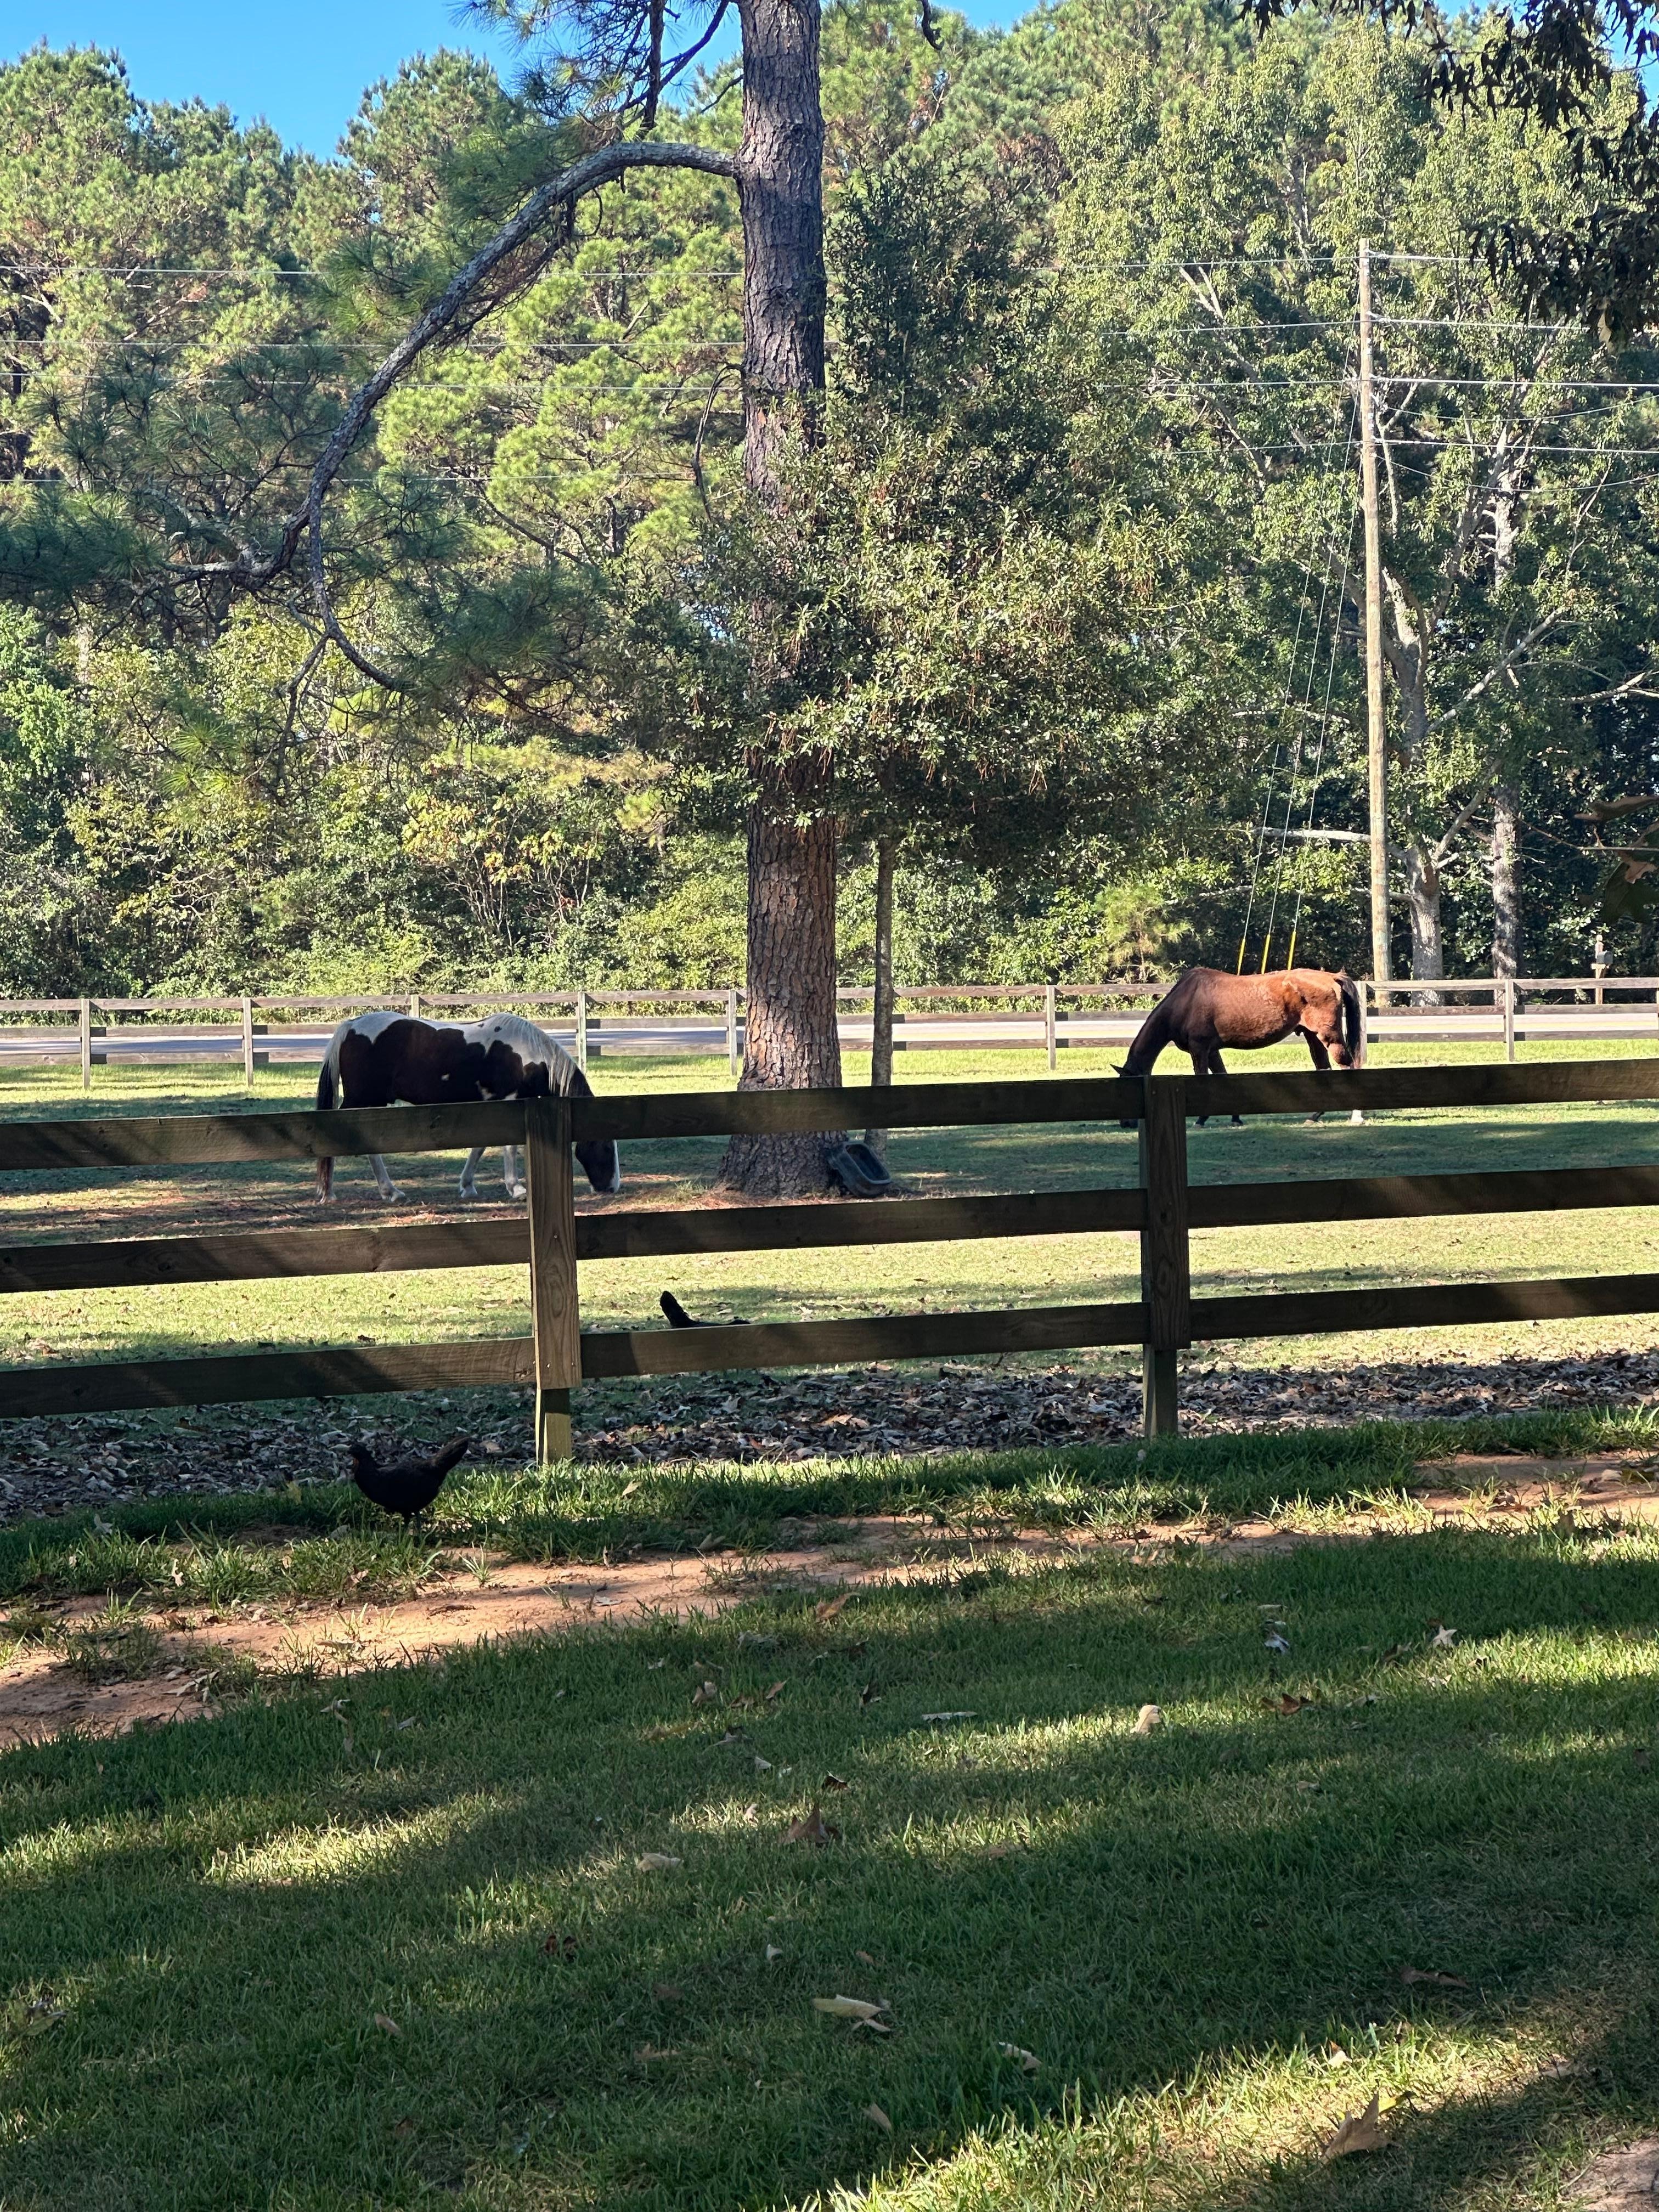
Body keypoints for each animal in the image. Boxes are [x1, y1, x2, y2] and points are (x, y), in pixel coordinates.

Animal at [313, 1010, 621, 1201]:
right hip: (363, 1100)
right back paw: (351, 1192)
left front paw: (468, 1186)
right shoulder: (510, 1101)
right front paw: (517, 1188)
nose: (612, 1187)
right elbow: (510, 1147)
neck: (525, 1053)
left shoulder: (491, 1104)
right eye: (606, 1148)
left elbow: (481, 1146)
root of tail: (350, 1026)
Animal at [1117, 967, 1364, 1125]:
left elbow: (1202, 1079)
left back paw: (1356, 1115)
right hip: (1312, 1036)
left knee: (1348, 1067)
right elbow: (1222, 1078)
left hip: (1329, 1036)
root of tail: (1333, 977)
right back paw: (1314, 1116)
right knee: (1325, 1069)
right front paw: (1235, 1117)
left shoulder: (1200, 1050)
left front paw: (1201, 1118)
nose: (1125, 1122)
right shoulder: (1212, 1051)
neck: (1185, 1001)